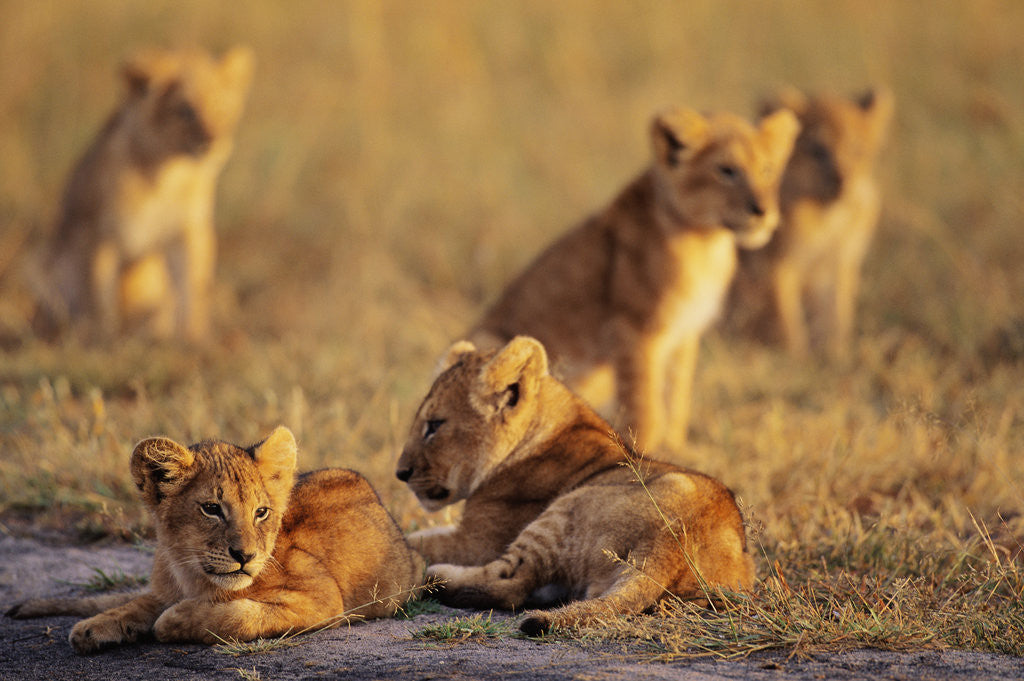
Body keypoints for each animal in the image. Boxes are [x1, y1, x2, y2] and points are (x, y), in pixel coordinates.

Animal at [7, 426, 425, 654]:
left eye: (261, 512)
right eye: (211, 509)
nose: (245, 555)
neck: (191, 574)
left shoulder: (323, 601)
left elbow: (238, 614)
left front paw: (174, 620)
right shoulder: (163, 589)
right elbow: (135, 604)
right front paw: (93, 627)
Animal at [31, 46, 253, 341]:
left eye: (223, 109)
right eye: (185, 111)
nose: (213, 143)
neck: (165, 174)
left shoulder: (187, 230)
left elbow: (192, 287)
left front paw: (194, 338)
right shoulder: (97, 232)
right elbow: (98, 293)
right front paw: (100, 338)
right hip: (45, 263)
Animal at [395, 336, 754, 635]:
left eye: (434, 425)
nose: (401, 473)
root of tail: (673, 541)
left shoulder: (477, 541)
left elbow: (416, 539)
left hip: (565, 508)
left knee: (511, 584)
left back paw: (434, 577)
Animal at [469, 107, 799, 452]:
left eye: (766, 169)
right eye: (727, 170)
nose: (762, 211)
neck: (707, 242)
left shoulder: (684, 332)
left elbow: (676, 395)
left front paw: (676, 447)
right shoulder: (635, 328)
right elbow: (645, 404)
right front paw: (644, 454)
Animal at [726, 87, 894, 359]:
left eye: (857, 150)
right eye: (818, 151)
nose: (843, 181)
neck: (830, 218)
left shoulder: (839, 265)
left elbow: (837, 316)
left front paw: (837, 354)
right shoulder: (774, 266)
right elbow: (786, 321)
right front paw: (796, 358)